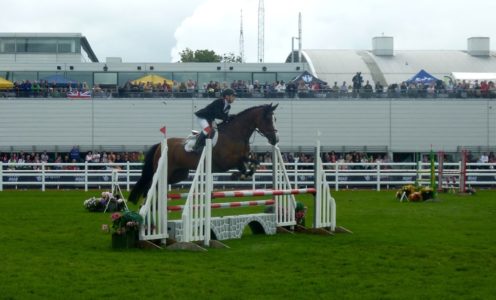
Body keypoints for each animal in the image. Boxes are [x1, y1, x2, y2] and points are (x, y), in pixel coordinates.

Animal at [129, 103, 280, 204]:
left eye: (275, 119)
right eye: (268, 119)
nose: (275, 140)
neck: (235, 134)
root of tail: (161, 145)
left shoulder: (242, 159)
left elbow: (252, 163)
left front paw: (243, 174)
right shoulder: (226, 162)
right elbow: (242, 163)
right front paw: (238, 175)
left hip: (178, 174)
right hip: (165, 170)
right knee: (150, 186)